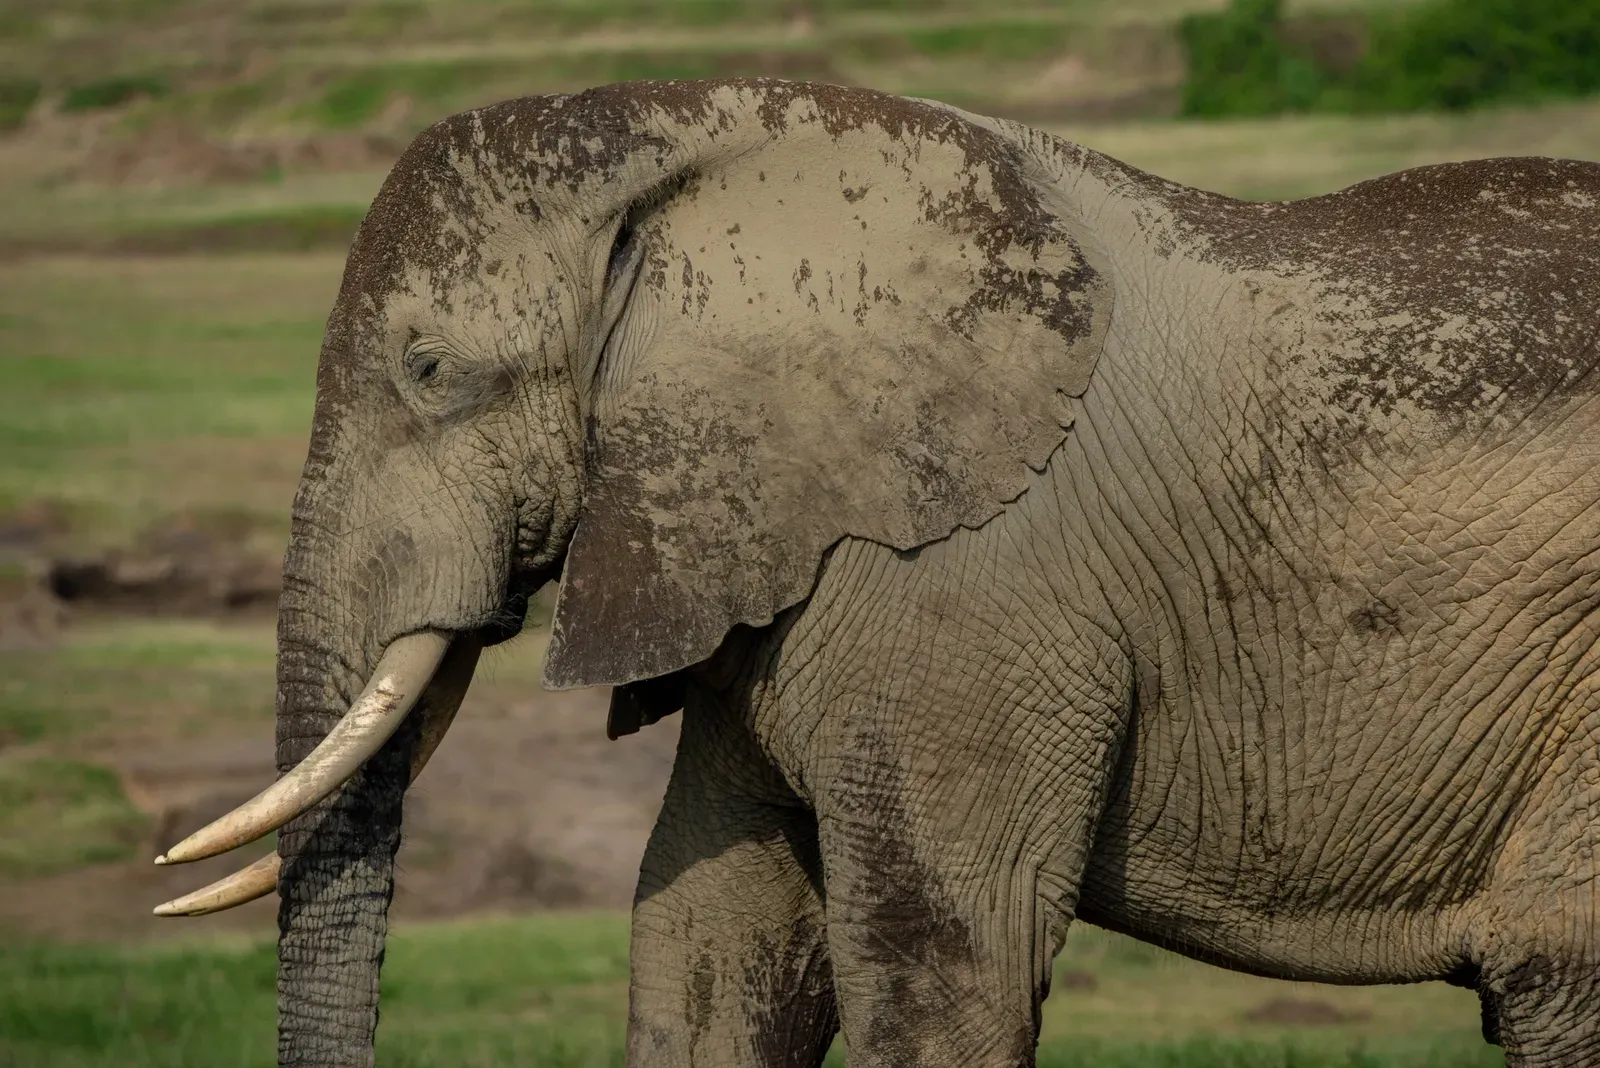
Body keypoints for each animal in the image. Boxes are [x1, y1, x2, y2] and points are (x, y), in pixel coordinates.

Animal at [152, 79, 1600, 1067]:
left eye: (430, 371)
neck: (707, 145)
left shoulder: (965, 593)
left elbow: (944, 946)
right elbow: (709, 931)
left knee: (1550, 969)